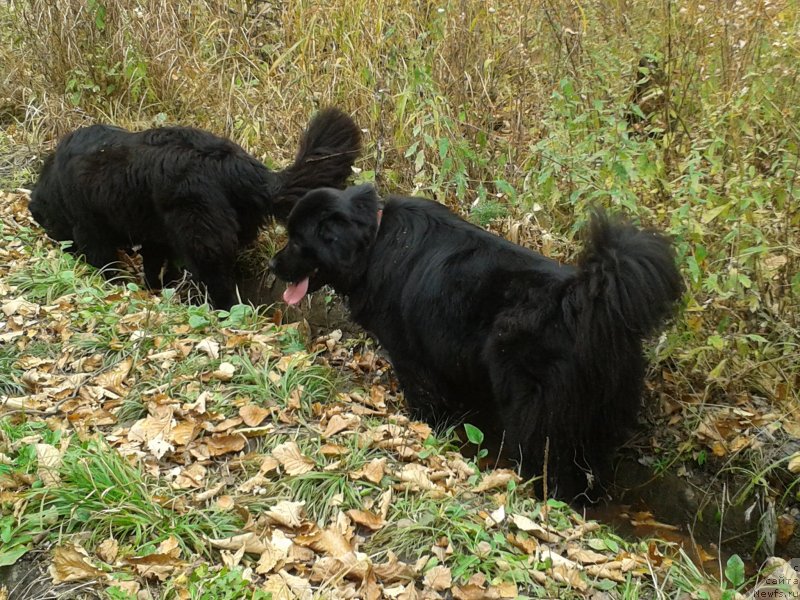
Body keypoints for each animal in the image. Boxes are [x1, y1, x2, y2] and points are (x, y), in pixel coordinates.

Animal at [28, 108, 360, 312]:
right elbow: (154, 265)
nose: (62, 249)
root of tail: (234, 165)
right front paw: (156, 289)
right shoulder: (155, 237)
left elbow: (106, 263)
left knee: (220, 282)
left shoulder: (91, 230)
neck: (55, 182)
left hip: (199, 236)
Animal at [272, 184, 684, 502]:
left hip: (536, 412)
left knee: (547, 462)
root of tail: (583, 303)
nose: (273, 265)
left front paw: (422, 431)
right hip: (597, 420)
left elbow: (426, 401)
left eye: (297, 240)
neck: (371, 243)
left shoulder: (412, 358)